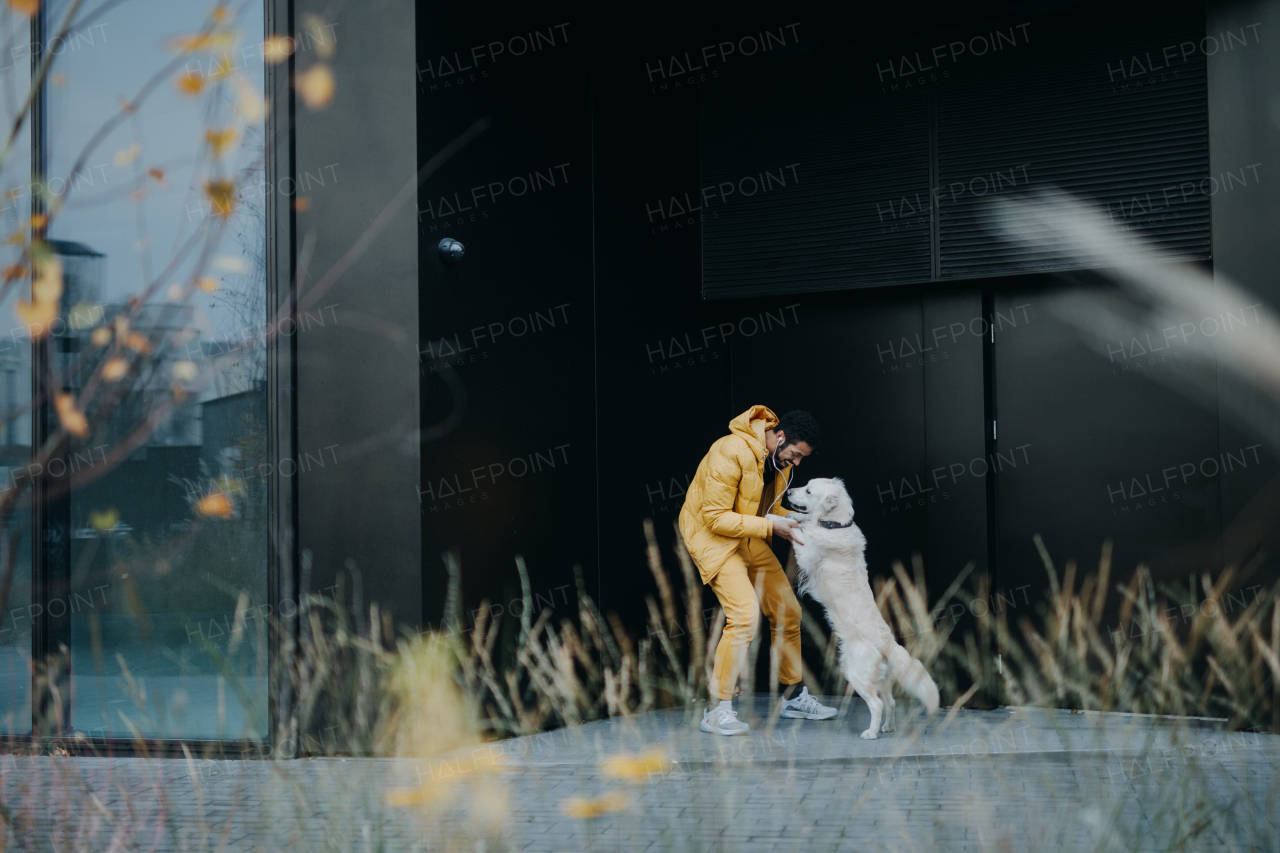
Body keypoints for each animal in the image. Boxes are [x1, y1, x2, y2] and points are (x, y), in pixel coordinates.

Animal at [768, 479, 942, 737]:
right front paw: (789, 515)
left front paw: (771, 517)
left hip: (855, 673)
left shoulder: (805, 552)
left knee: (877, 704)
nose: (788, 491)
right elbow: (800, 520)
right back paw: (887, 727)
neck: (835, 526)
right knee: (890, 702)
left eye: (808, 490)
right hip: (881, 679)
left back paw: (871, 733)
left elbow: (798, 531)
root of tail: (888, 642)